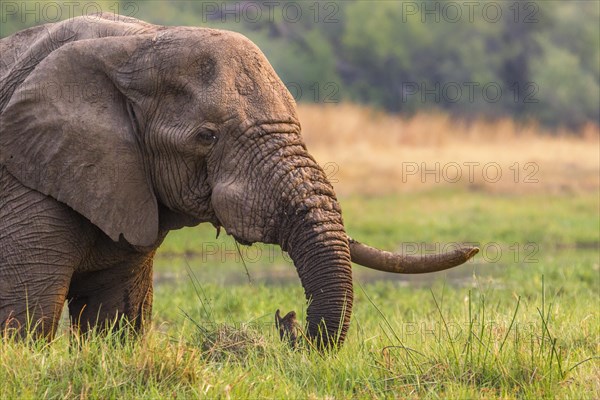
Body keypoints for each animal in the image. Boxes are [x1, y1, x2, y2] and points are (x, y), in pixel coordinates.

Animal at [1, 14, 478, 348]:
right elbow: (27, 316)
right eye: (206, 137)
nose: (286, 323)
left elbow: (116, 319)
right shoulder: (27, 183)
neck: (135, 42)